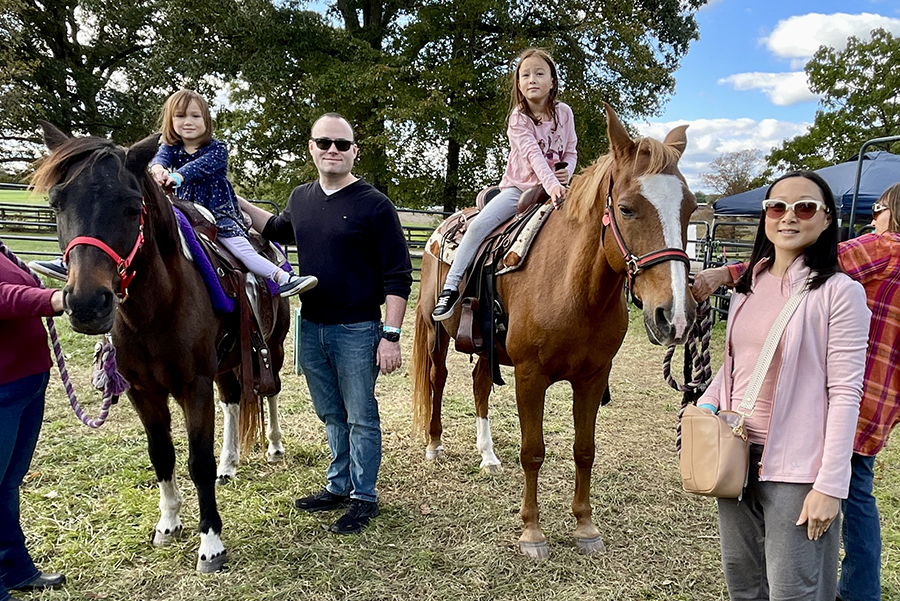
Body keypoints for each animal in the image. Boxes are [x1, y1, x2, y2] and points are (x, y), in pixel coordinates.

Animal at [31, 123, 290, 572]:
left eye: (132, 206)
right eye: (57, 203)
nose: (87, 304)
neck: (155, 309)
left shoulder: (194, 386)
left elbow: (197, 461)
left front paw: (211, 544)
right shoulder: (143, 391)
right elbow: (161, 454)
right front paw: (168, 523)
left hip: (270, 348)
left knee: (269, 391)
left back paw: (272, 445)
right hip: (226, 365)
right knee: (233, 402)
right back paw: (230, 463)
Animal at [412, 103, 700, 556]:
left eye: (688, 209)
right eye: (627, 208)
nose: (676, 317)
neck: (575, 288)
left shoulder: (593, 377)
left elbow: (585, 450)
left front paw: (585, 526)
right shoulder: (530, 376)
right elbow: (533, 451)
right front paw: (532, 531)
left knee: (479, 384)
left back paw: (487, 455)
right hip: (435, 332)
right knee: (437, 378)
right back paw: (434, 444)